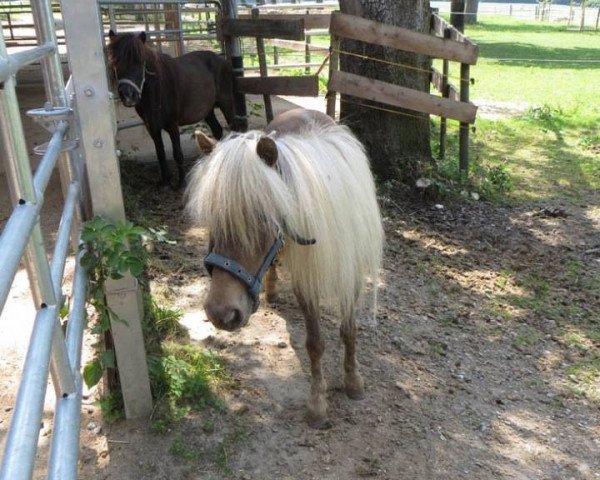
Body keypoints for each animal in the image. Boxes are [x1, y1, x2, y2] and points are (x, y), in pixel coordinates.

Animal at [106, 31, 238, 188]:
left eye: (140, 62)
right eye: (115, 62)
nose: (128, 96)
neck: (157, 89)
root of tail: (222, 60)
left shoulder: (172, 125)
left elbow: (177, 154)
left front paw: (181, 183)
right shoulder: (152, 127)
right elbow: (160, 153)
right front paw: (165, 181)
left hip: (226, 102)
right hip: (208, 110)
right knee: (217, 130)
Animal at [186, 109, 384, 428]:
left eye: (264, 219)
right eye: (211, 219)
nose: (220, 313)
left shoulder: (351, 274)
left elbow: (349, 331)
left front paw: (353, 381)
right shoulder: (306, 280)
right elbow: (315, 343)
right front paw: (317, 404)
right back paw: (271, 290)